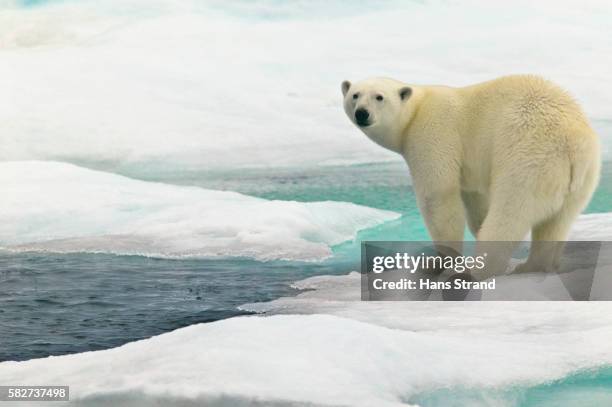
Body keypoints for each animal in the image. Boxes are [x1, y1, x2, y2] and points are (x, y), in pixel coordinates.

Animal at [342, 75, 600, 278]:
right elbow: (474, 200)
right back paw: (534, 265)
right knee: (558, 221)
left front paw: (439, 263)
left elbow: (438, 196)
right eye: (355, 95)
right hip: (585, 176)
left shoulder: (433, 134)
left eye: (379, 97)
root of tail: (573, 142)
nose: (362, 113)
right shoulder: (470, 168)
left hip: (530, 156)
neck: (416, 110)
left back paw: (479, 270)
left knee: (510, 212)